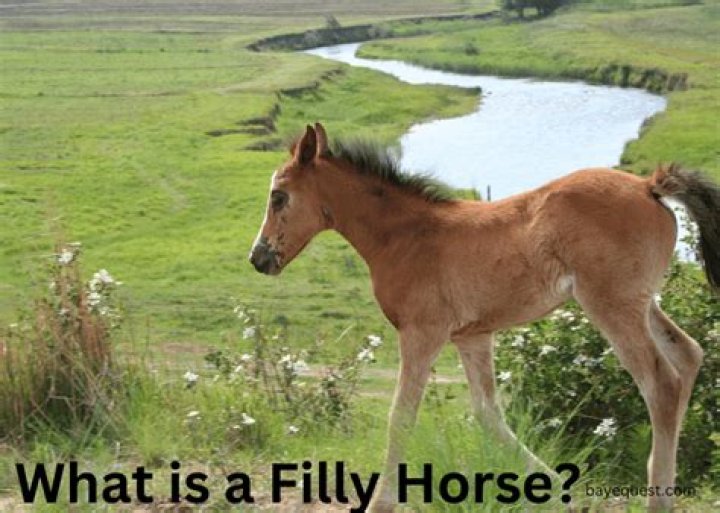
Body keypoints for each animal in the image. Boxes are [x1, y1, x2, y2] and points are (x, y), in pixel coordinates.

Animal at [249, 123, 719, 512]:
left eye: (278, 196)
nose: (259, 258)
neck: (405, 236)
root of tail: (648, 185)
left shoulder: (422, 333)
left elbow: (401, 415)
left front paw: (381, 503)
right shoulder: (472, 336)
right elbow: (487, 413)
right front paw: (556, 489)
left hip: (611, 304)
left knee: (661, 382)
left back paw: (658, 500)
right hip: (641, 302)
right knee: (688, 355)